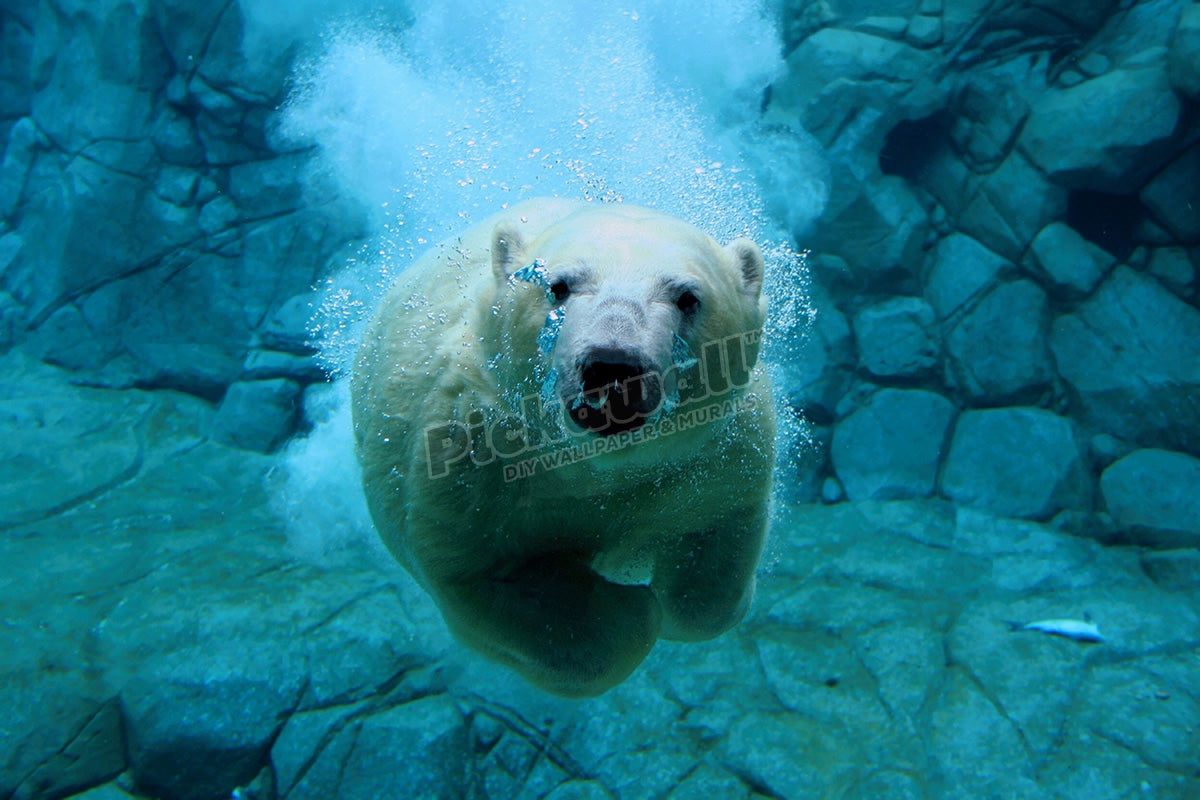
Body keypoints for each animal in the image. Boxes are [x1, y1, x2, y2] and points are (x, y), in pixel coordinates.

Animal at [352, 198, 775, 697]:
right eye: (557, 286)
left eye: (688, 297)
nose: (612, 365)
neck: (595, 464)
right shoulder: (469, 459)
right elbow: (483, 576)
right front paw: (630, 610)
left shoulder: (714, 452)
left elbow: (714, 547)